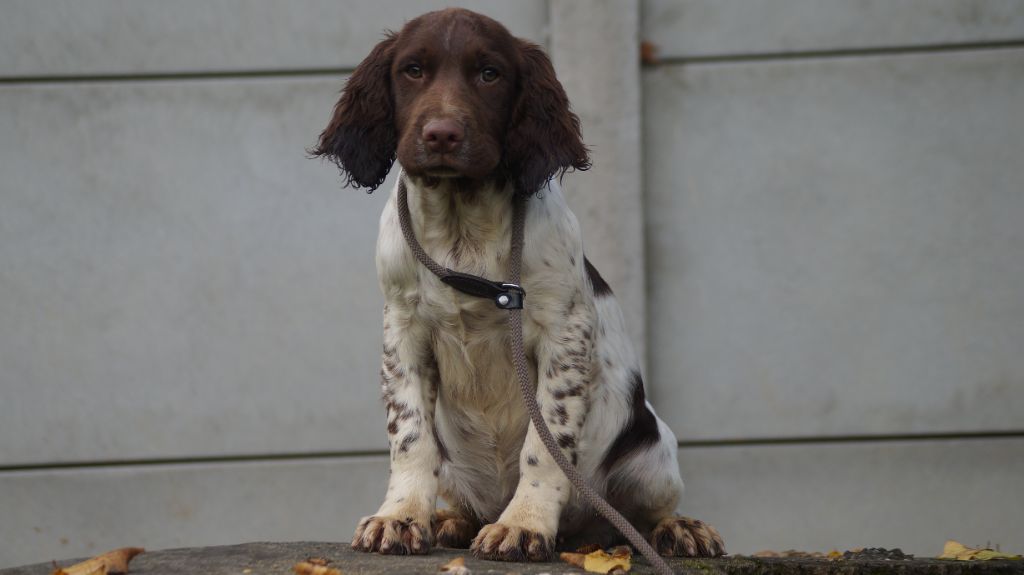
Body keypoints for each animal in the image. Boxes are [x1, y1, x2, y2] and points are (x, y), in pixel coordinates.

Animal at [311, 6, 729, 556]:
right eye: (412, 70)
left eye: (490, 74)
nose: (441, 134)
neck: (462, 225)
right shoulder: (402, 330)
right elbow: (410, 436)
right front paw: (400, 517)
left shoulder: (564, 334)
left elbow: (545, 445)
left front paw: (524, 524)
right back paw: (452, 520)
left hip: (653, 454)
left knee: (640, 515)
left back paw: (680, 528)